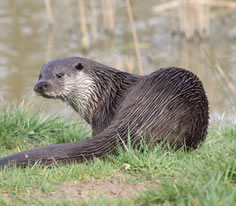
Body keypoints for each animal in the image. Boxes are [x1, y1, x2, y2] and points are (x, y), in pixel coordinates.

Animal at [0, 57, 208, 168]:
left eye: (59, 75)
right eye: (40, 75)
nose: (41, 85)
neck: (102, 92)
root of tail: (150, 108)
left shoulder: (100, 115)